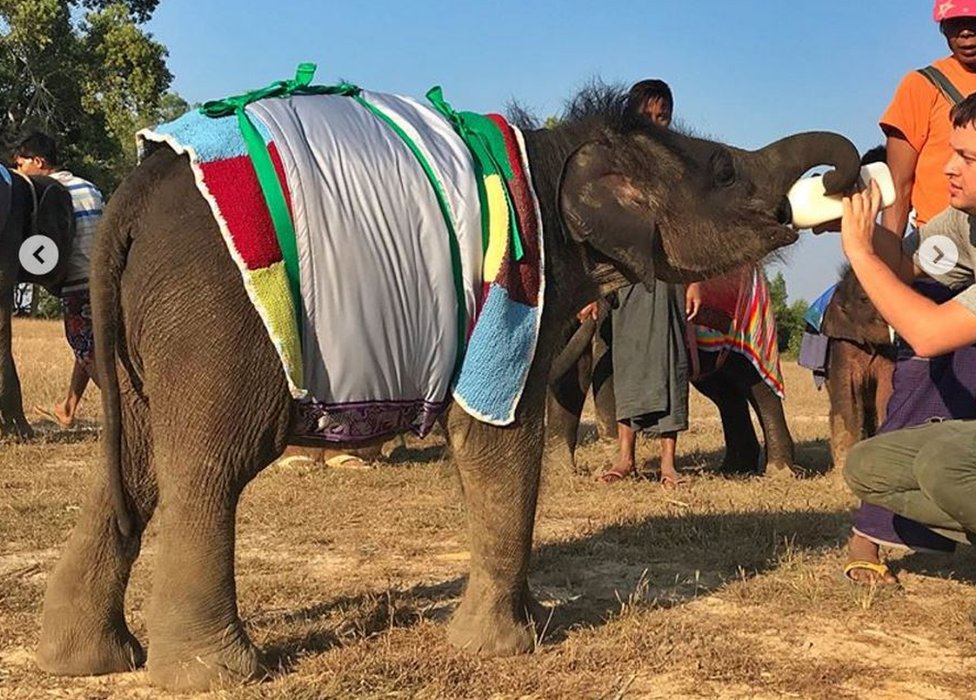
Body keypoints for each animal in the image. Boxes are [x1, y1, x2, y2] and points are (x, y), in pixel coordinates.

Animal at [546, 271, 795, 478]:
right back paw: (733, 469)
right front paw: (560, 470)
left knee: (756, 386)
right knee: (726, 395)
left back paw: (779, 471)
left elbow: (606, 371)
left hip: (748, 331)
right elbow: (572, 378)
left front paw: (607, 469)